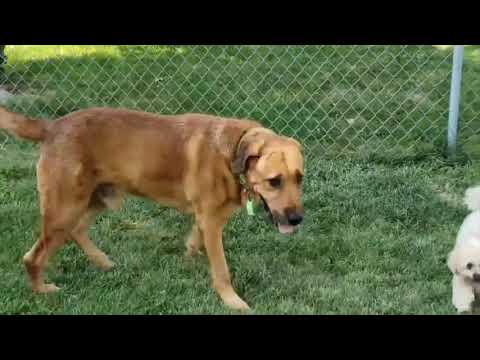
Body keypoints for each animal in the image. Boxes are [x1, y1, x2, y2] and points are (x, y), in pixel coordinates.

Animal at [0, 106, 304, 310]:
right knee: (33, 257)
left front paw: (189, 259)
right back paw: (42, 290)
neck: (232, 152)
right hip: (65, 209)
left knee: (76, 231)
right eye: (274, 181)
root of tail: (51, 127)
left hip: (99, 198)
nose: (297, 219)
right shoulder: (212, 221)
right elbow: (221, 270)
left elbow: (194, 241)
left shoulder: (206, 219)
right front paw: (232, 301)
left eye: (299, 178)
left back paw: (102, 261)